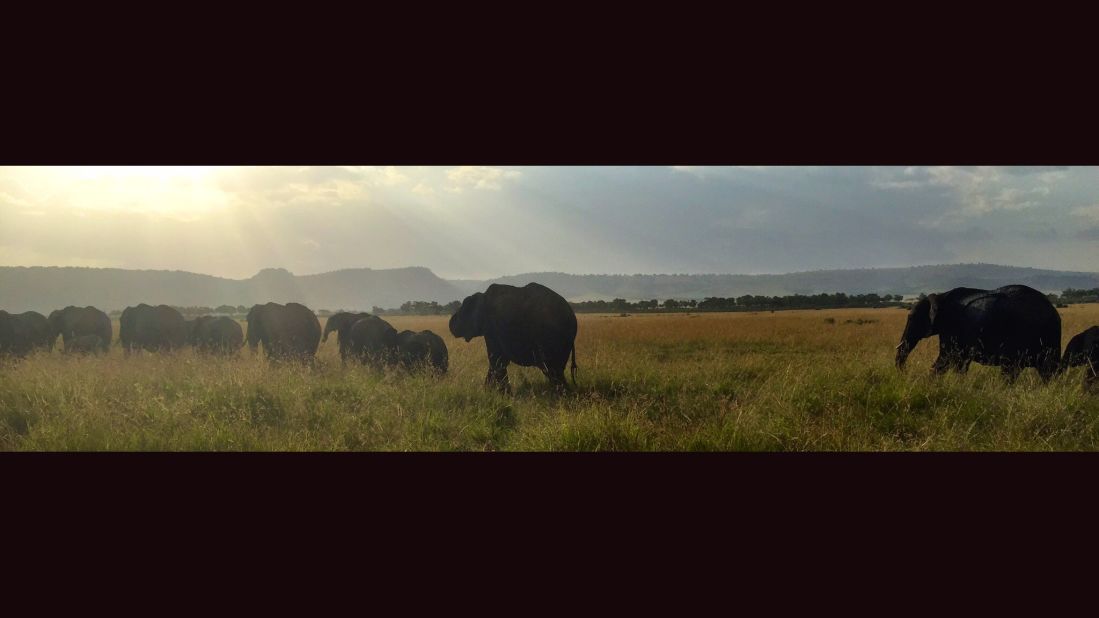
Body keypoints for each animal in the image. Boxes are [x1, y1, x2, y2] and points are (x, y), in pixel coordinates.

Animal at [448, 280, 580, 389]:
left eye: (463, 312)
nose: (451, 324)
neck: (482, 296)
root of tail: (572, 317)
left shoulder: (492, 328)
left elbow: (496, 360)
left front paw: (502, 394)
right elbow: (499, 361)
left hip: (552, 338)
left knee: (552, 370)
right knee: (556, 370)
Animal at [892, 283, 1063, 380]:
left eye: (912, 318)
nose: (905, 374)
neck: (940, 296)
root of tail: (1054, 313)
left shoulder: (952, 328)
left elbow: (946, 359)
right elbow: (959, 363)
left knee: (1015, 369)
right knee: (1044, 371)